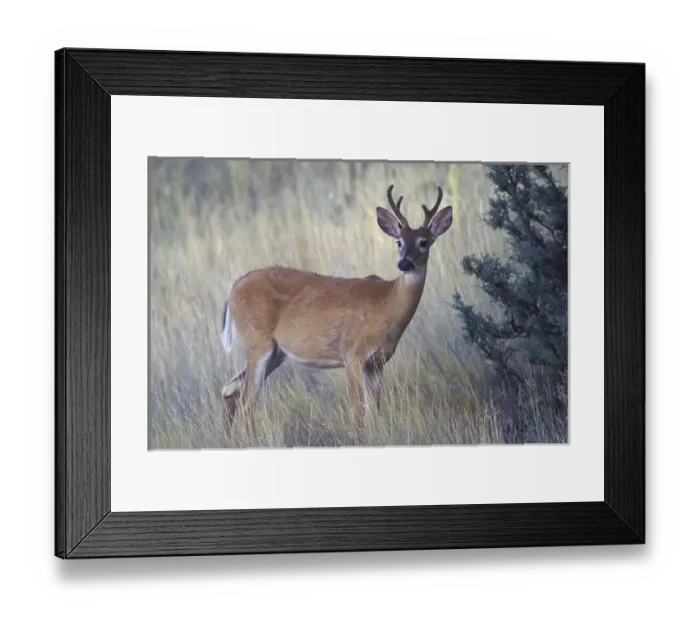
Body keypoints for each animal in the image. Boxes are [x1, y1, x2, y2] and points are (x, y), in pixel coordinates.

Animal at [219, 184, 453, 437]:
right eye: (398, 242)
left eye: (424, 242)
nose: (404, 264)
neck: (386, 306)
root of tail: (233, 290)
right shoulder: (351, 353)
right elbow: (358, 410)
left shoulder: (377, 363)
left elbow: (375, 410)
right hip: (257, 342)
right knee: (247, 401)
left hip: (275, 353)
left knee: (231, 390)